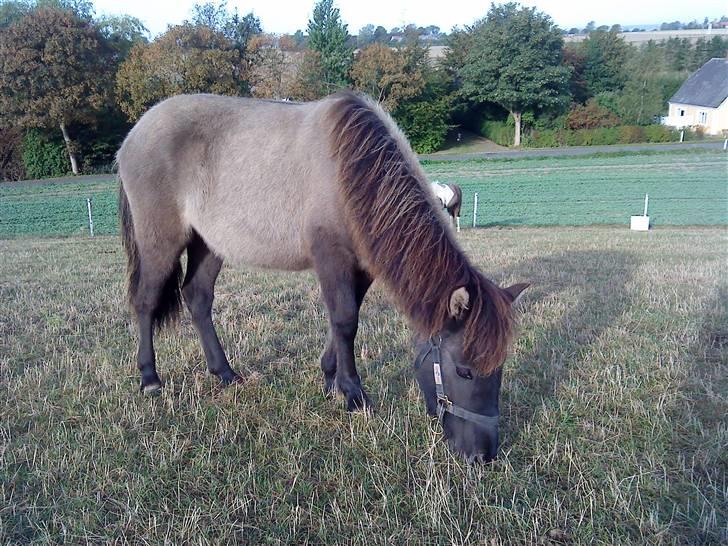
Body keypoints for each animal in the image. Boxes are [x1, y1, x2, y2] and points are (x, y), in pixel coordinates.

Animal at [118, 90, 528, 460]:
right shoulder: (331, 258)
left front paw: (331, 379)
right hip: (160, 241)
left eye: (500, 368)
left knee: (198, 297)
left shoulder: (362, 266)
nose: (483, 455)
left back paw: (225, 373)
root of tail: (135, 133)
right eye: (464, 371)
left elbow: (344, 320)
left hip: (209, 243)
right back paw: (150, 378)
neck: (354, 167)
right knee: (145, 301)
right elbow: (345, 321)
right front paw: (354, 395)